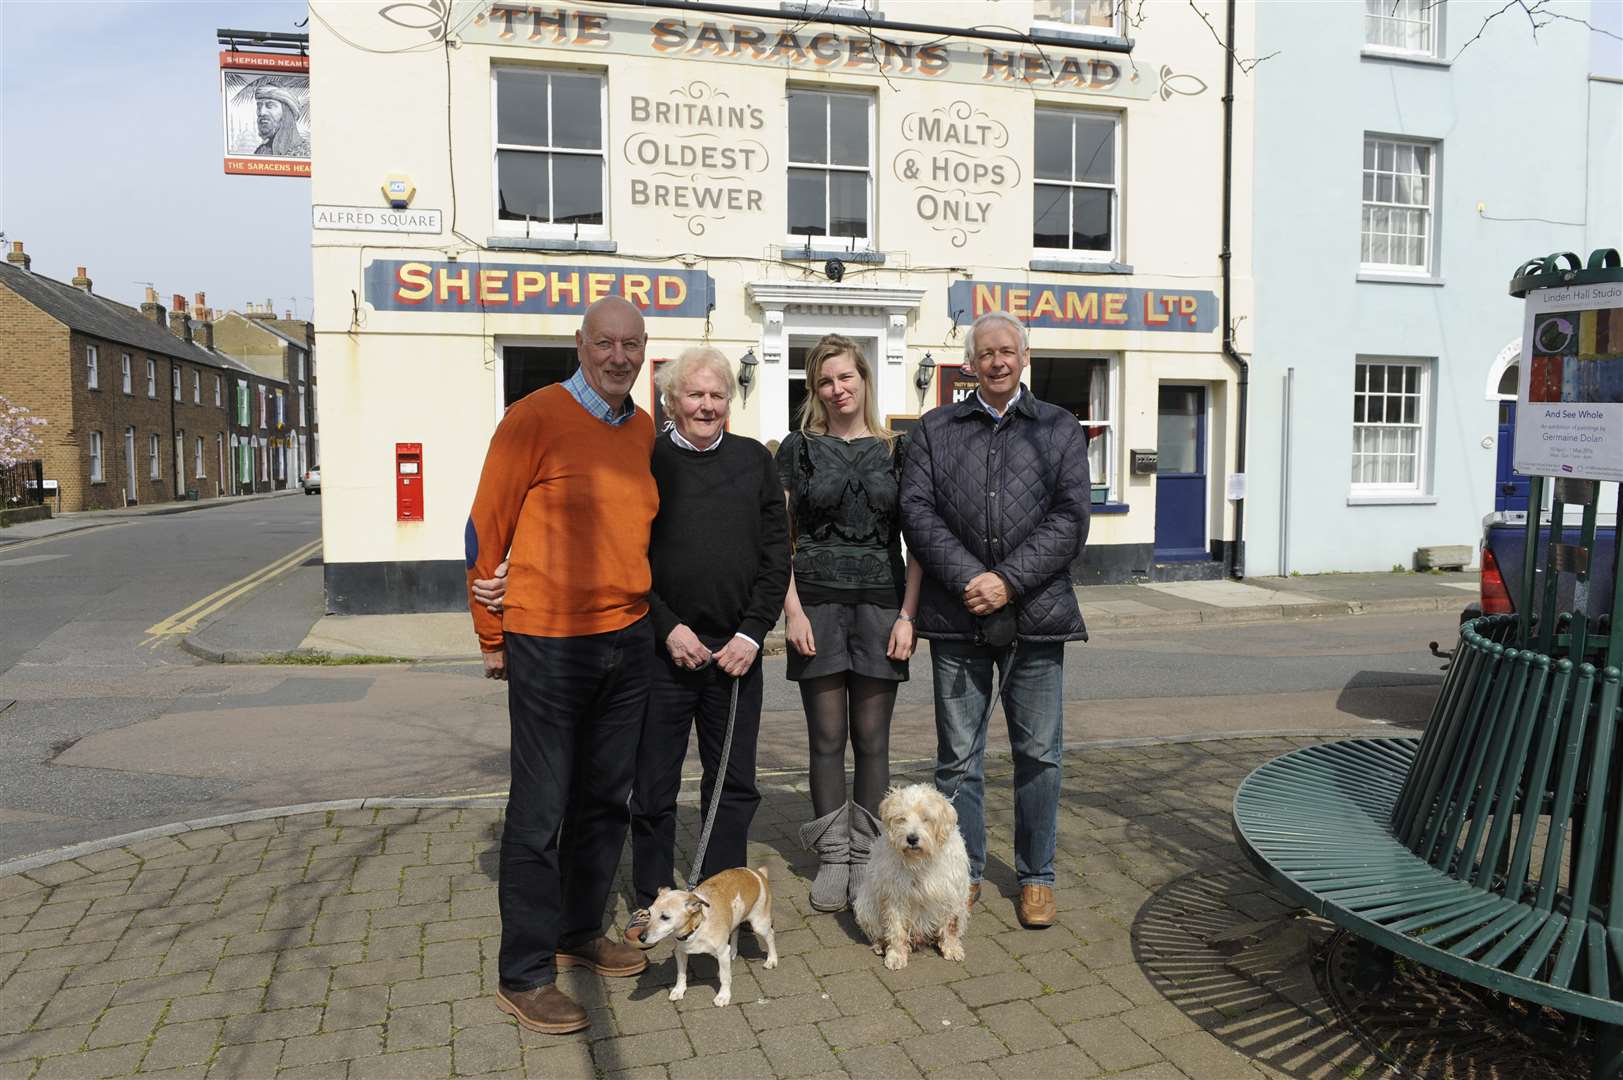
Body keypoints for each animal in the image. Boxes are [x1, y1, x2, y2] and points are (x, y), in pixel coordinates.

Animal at [639, 864, 779, 1006]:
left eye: (665, 917)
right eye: (649, 913)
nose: (641, 937)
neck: (698, 926)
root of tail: (756, 872)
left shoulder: (722, 952)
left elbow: (725, 977)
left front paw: (723, 996)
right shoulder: (680, 952)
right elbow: (681, 974)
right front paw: (679, 990)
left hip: (759, 924)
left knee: (770, 935)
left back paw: (772, 960)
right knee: (736, 930)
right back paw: (733, 952)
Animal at [856, 782, 967, 967]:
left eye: (926, 818)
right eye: (901, 818)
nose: (912, 838)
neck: (920, 862)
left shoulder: (952, 894)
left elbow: (951, 925)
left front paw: (951, 948)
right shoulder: (895, 896)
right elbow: (896, 929)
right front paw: (895, 955)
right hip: (866, 907)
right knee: (878, 933)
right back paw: (880, 945)